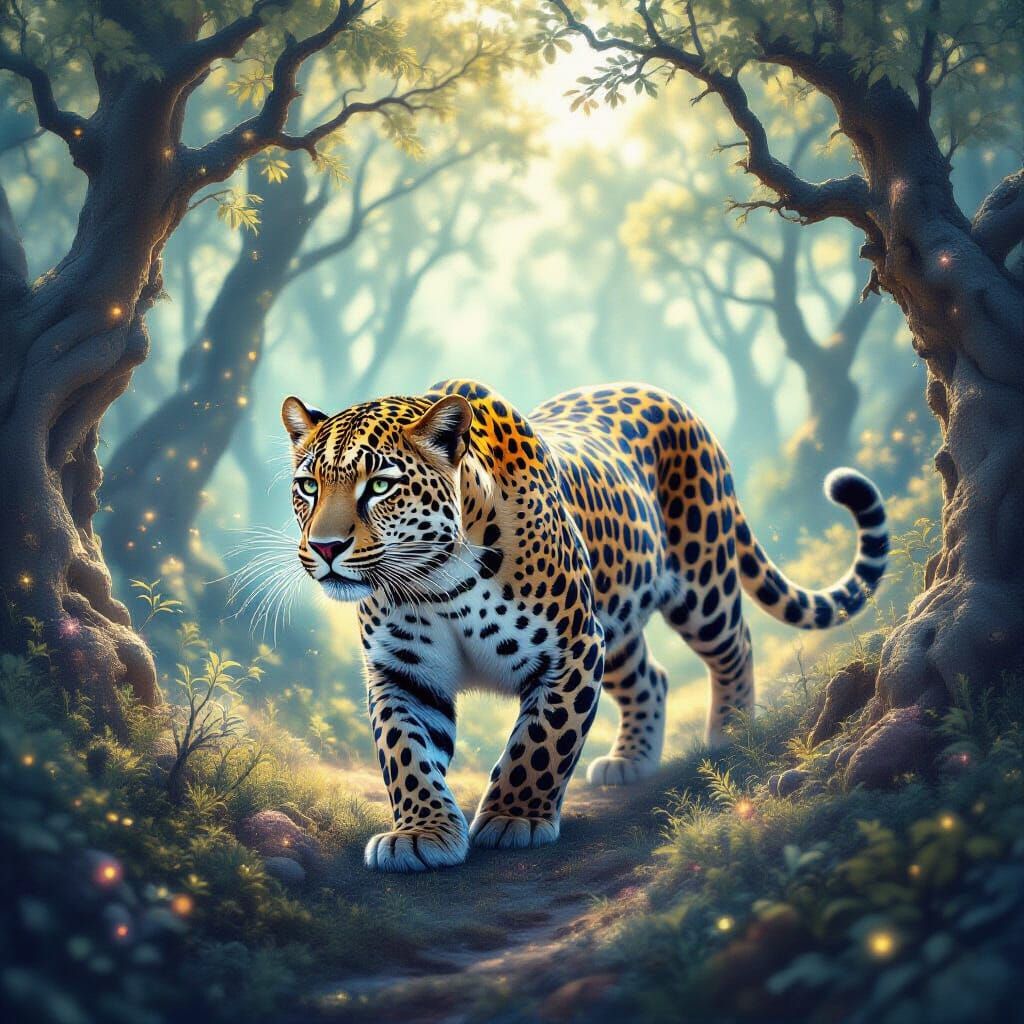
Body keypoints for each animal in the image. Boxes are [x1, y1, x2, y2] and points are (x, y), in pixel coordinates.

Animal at [281, 379, 888, 872]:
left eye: (380, 486)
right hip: (615, 622)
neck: (436, 580)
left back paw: (731, 734)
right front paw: (420, 834)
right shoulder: (404, 674)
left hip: (701, 582)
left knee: (734, 645)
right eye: (309, 486)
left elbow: (542, 741)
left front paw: (515, 818)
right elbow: (405, 752)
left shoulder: (570, 649)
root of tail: (672, 399)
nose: (325, 547)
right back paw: (630, 762)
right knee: (651, 678)